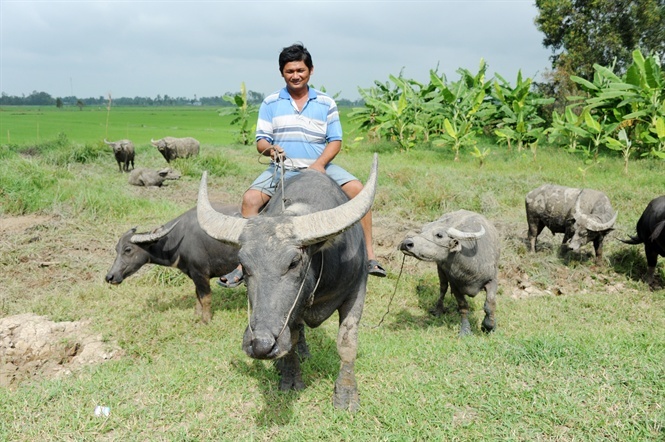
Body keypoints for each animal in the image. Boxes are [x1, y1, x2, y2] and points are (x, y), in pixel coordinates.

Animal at [107, 202, 243, 322]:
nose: (109, 277)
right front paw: (196, 315)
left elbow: (206, 298)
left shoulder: (201, 274)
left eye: (128, 249)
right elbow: (197, 295)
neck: (179, 240)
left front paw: (205, 320)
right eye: (116, 249)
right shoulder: (194, 274)